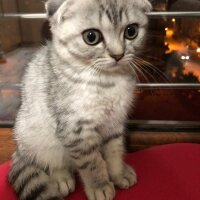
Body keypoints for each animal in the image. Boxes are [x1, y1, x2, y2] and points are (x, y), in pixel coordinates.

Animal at [8, 0, 151, 199]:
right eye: (91, 37)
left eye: (131, 31)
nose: (118, 55)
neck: (108, 81)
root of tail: (19, 150)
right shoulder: (76, 129)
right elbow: (92, 162)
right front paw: (100, 186)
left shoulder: (115, 121)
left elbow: (114, 150)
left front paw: (118, 173)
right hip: (34, 135)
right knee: (48, 161)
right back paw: (60, 178)